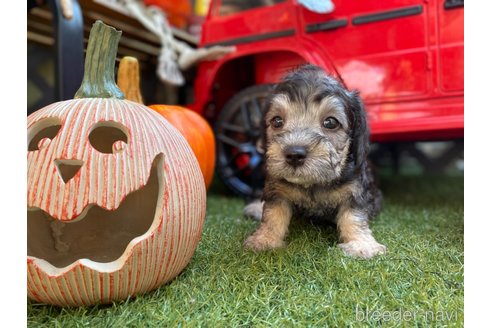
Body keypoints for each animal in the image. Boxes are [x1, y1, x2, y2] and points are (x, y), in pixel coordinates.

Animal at [244, 64, 386, 258]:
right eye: (277, 121)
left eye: (331, 122)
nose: (294, 154)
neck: (312, 184)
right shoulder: (277, 189)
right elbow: (273, 213)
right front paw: (265, 239)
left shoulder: (355, 190)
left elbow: (354, 216)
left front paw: (361, 244)